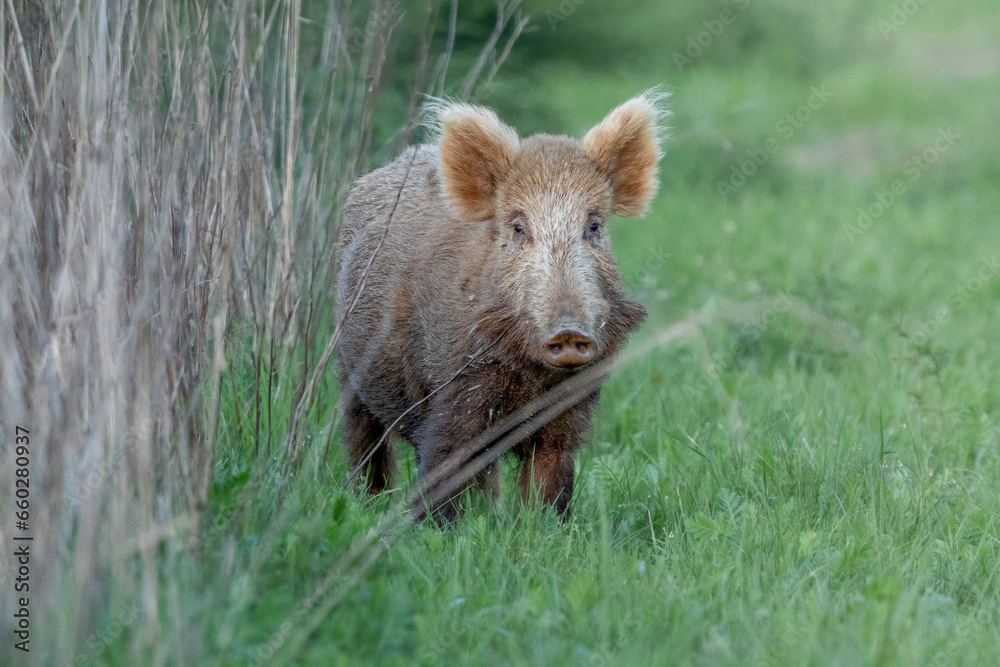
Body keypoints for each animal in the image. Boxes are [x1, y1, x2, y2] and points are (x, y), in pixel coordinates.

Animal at [335, 91, 667, 520]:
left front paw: (536, 528)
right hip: (349, 373)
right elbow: (443, 477)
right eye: (518, 227)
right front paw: (444, 530)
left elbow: (548, 483)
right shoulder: (450, 399)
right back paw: (366, 505)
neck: (530, 377)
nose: (569, 331)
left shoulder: (567, 411)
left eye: (593, 226)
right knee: (365, 445)